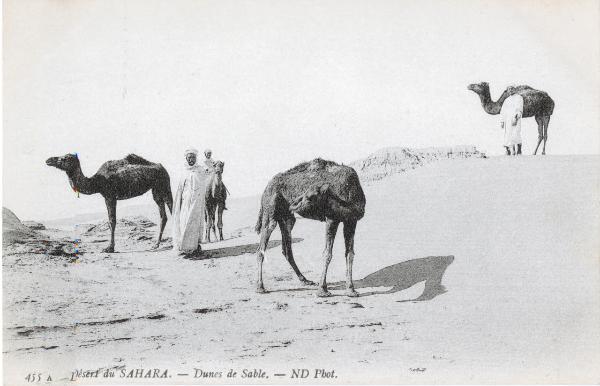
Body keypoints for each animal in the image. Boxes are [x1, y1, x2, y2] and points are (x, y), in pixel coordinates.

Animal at [254, 158, 366, 298]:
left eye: (310, 197)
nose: (293, 204)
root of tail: (266, 187)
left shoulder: (351, 220)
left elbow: (350, 253)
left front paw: (351, 290)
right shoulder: (332, 218)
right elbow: (327, 254)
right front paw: (322, 290)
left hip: (287, 218)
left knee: (287, 249)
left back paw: (305, 280)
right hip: (270, 210)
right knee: (261, 248)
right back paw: (260, 287)